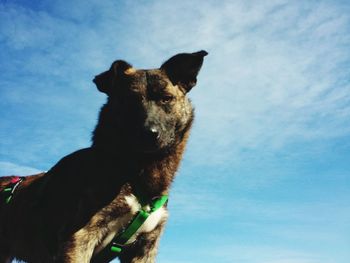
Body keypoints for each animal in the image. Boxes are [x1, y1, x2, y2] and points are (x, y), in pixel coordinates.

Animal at [0, 50, 208, 262]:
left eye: (166, 98)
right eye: (129, 100)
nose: (149, 133)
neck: (133, 175)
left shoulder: (145, 246)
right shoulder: (78, 238)